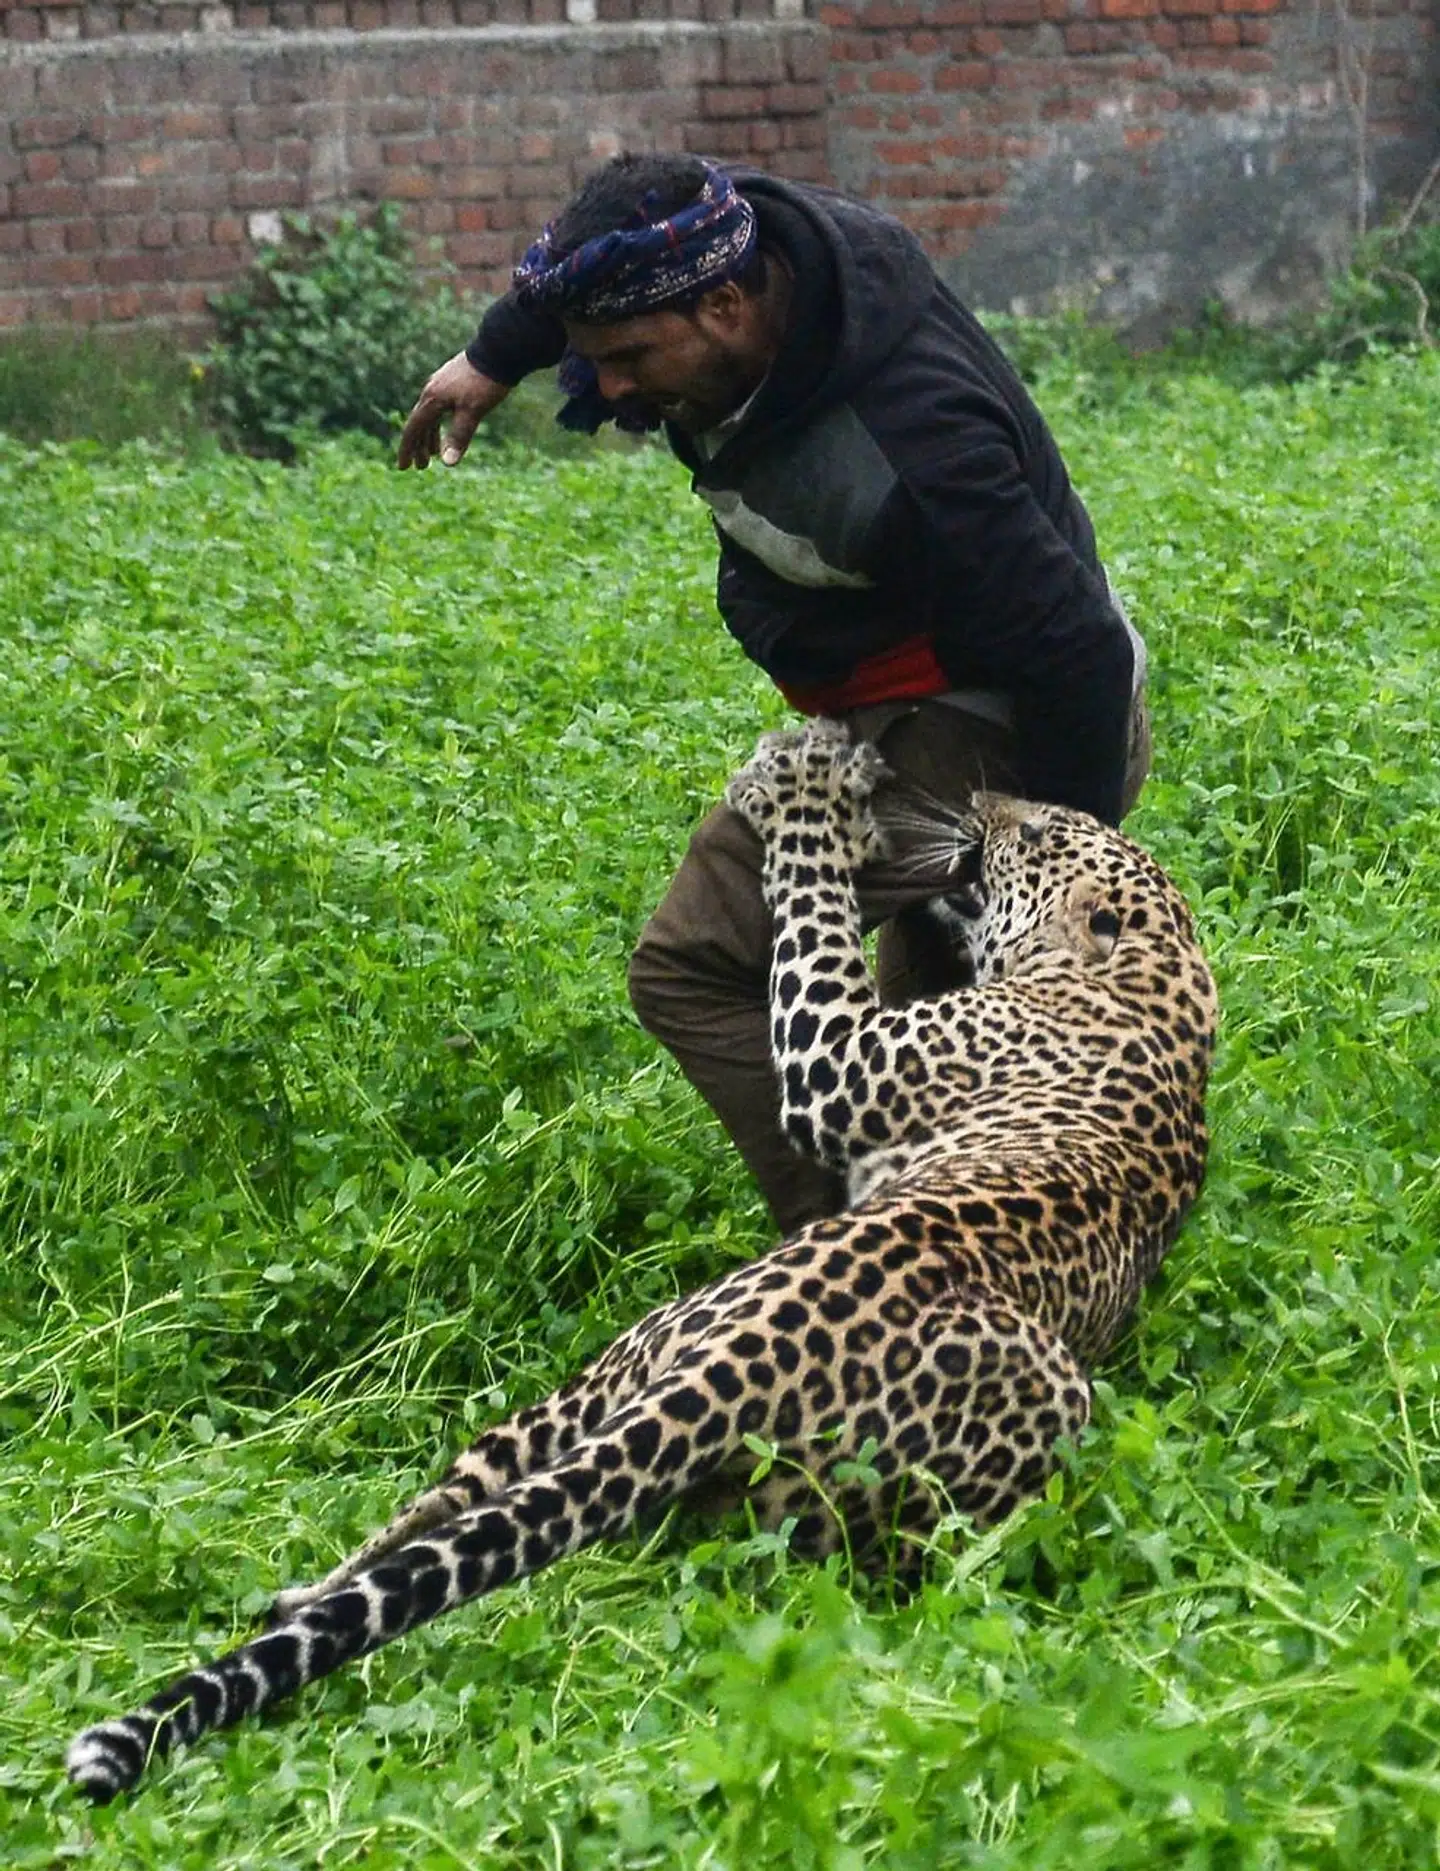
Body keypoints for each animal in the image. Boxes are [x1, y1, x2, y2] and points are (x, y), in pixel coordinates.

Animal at [67, 717, 1216, 1802]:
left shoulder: (843, 1059)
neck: (1153, 975)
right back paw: (293, 1594)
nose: (986, 800)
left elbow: (811, 918)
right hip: (611, 1382)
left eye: (1038, 834)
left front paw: (802, 796)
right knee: (450, 1509)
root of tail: (736, 1371)